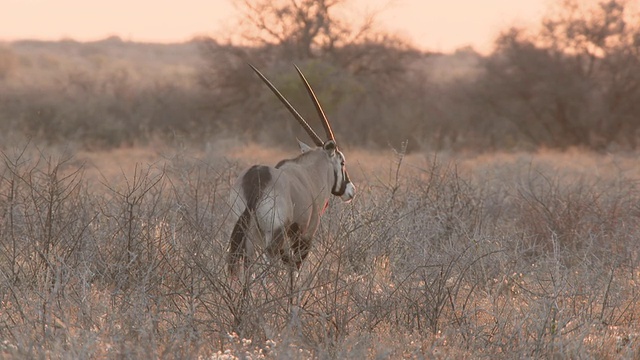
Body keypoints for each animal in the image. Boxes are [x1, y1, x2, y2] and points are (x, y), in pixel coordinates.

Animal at [228, 65, 356, 282]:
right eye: (342, 161)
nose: (351, 190)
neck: (311, 172)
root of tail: (256, 181)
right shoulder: (306, 235)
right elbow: (295, 269)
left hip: (246, 235)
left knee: (243, 266)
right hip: (272, 236)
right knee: (266, 267)